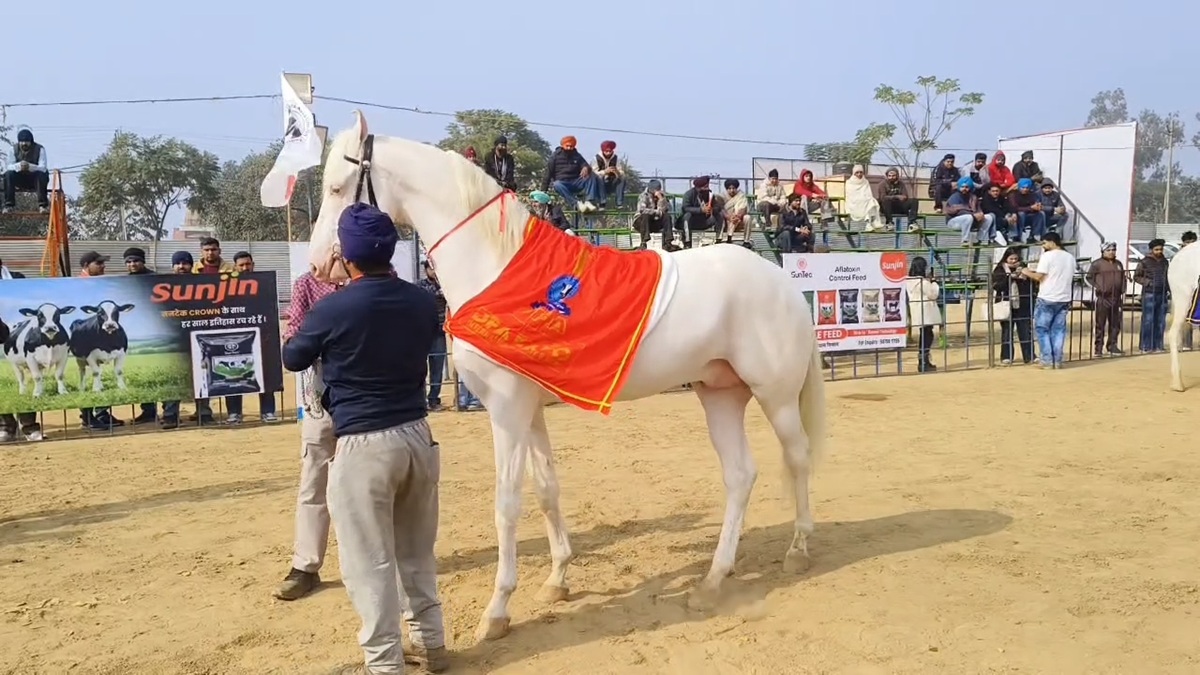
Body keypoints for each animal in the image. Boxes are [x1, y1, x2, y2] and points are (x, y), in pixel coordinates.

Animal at [307, 111, 828, 642]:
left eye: (337, 187)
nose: (320, 263)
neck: (497, 269)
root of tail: (780, 280)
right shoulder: (531, 412)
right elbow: (546, 491)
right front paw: (557, 580)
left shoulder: (507, 412)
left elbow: (507, 504)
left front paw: (497, 611)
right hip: (719, 395)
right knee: (740, 475)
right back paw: (714, 579)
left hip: (776, 397)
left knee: (798, 458)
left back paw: (797, 550)